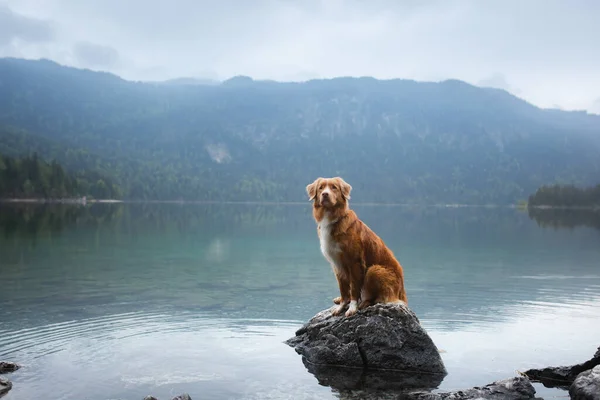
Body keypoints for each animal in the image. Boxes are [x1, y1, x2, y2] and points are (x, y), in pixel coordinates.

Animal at [304, 177, 408, 318]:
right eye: (321, 188)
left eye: (334, 187)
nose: (325, 194)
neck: (331, 217)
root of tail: (403, 293)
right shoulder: (337, 264)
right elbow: (343, 289)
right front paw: (342, 305)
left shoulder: (354, 262)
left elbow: (353, 288)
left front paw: (352, 308)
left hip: (374, 270)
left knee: (380, 298)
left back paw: (364, 303)